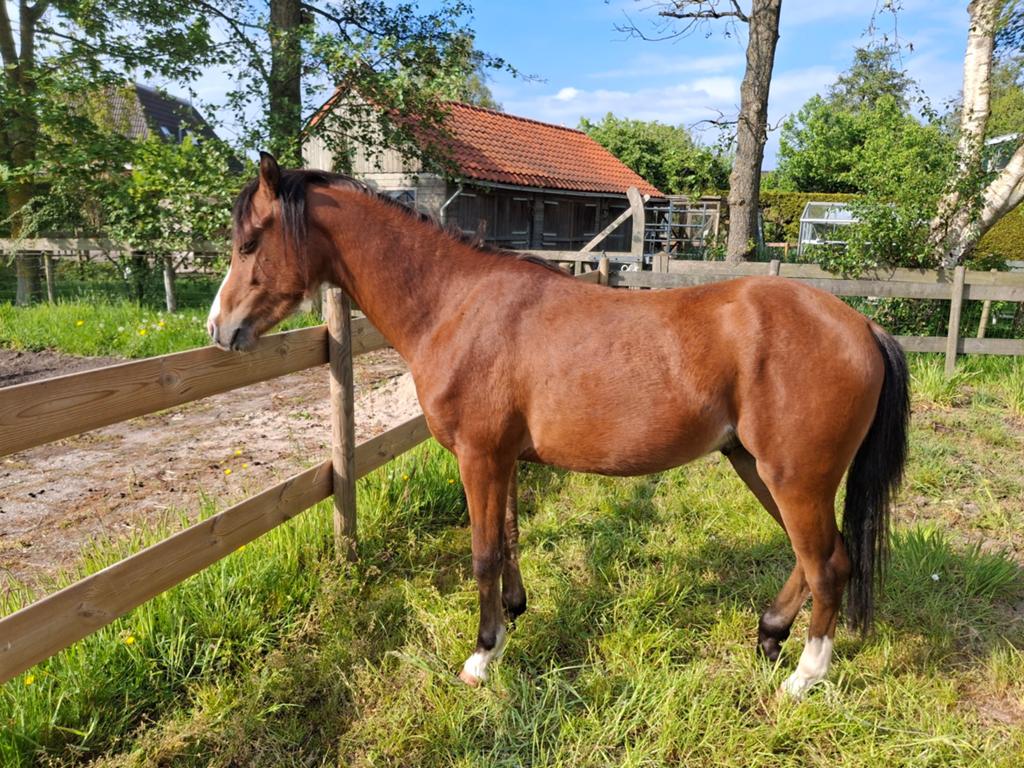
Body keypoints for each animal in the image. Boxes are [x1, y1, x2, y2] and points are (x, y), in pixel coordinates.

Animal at [207, 153, 909, 697]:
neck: (456, 304)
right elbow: (510, 538)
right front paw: (513, 618)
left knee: (827, 565)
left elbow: (484, 553)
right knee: (818, 557)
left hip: (796, 478)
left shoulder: (478, 456)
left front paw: (482, 654)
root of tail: (861, 326)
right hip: (758, 466)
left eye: (249, 243)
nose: (219, 329)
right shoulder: (504, 459)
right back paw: (769, 635)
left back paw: (803, 676)